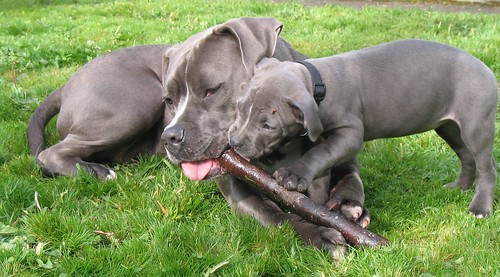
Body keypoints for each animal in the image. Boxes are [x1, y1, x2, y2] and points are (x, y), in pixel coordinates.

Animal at [229, 38, 498, 217]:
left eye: (268, 126)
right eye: (239, 107)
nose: (234, 143)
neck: (318, 85)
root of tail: (487, 69)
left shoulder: (350, 136)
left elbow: (319, 154)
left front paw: (293, 174)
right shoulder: (323, 139)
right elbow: (320, 166)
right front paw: (318, 206)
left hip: (476, 126)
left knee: (486, 168)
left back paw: (479, 208)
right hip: (449, 127)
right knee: (467, 157)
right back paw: (459, 187)